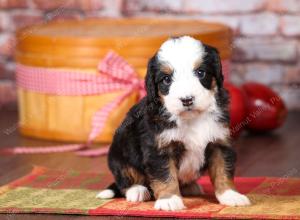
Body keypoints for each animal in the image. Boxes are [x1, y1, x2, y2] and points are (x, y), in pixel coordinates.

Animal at [96, 36, 251, 211]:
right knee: (125, 179)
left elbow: (223, 169)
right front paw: (169, 200)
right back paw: (137, 191)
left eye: (200, 72)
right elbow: (165, 176)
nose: (187, 99)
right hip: (119, 154)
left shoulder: (219, 142)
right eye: (167, 79)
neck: (192, 118)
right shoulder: (159, 149)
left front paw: (230, 195)